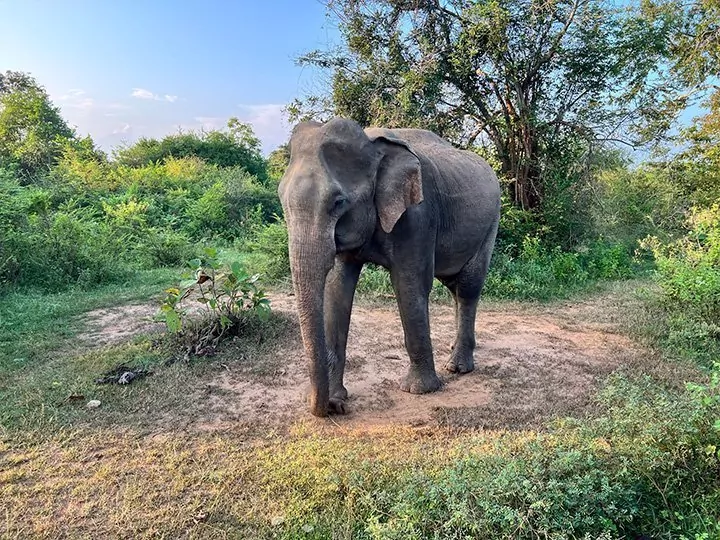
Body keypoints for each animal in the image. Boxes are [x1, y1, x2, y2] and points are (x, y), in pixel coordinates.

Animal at [276, 118, 500, 418]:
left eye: (338, 202)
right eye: (281, 199)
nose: (335, 408)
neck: (372, 144)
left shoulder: (418, 216)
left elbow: (409, 285)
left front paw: (420, 390)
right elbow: (337, 289)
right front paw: (337, 396)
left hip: (491, 224)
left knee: (467, 288)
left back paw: (457, 367)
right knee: (455, 287)